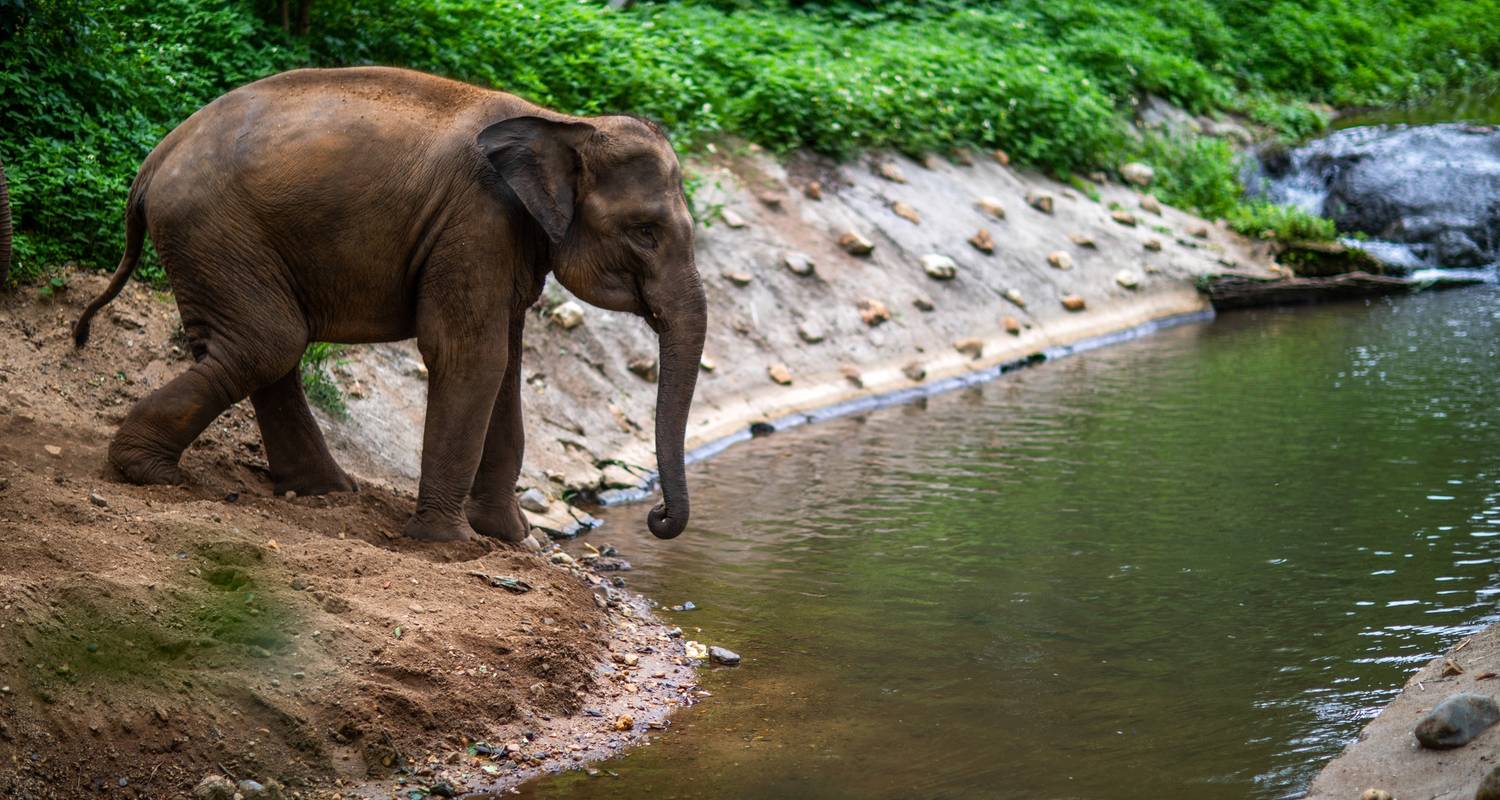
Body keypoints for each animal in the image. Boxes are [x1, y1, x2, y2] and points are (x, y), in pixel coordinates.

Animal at [69, 67, 702, 543]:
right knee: (266, 344)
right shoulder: (477, 222)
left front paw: (509, 536)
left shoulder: (506, 241)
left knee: (267, 348)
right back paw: (147, 471)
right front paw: (452, 544)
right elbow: (471, 358)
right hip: (214, 231)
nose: (657, 516)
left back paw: (322, 490)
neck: (560, 121)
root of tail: (152, 162)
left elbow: (506, 367)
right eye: (646, 232)